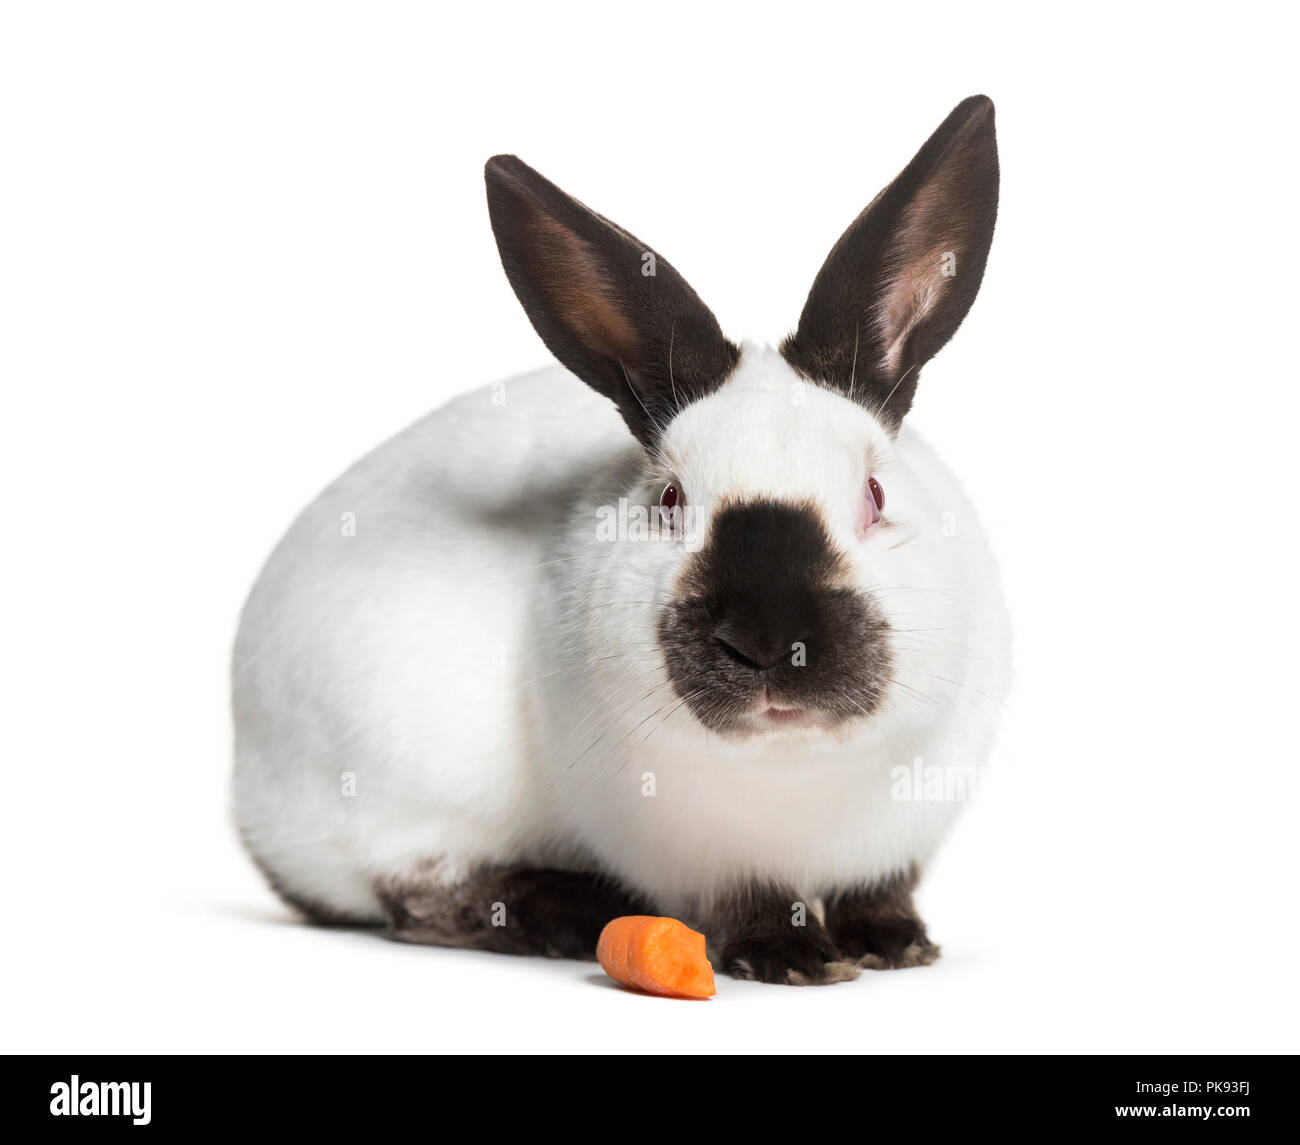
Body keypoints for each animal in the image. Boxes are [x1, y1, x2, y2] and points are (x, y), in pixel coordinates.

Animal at [232, 94, 1009, 985]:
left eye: (875, 494)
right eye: (670, 499)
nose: (772, 642)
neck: (792, 761)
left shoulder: (898, 837)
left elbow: (878, 890)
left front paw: (893, 943)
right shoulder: (701, 854)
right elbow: (747, 899)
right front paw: (789, 957)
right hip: (394, 784)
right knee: (417, 894)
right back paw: (568, 912)